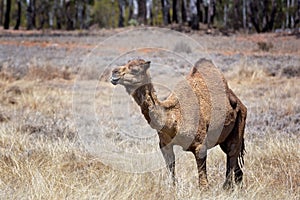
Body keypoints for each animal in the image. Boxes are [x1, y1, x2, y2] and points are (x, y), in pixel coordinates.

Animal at [110, 58, 246, 189]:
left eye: (134, 70)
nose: (114, 72)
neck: (175, 118)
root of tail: (240, 103)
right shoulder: (165, 145)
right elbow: (172, 171)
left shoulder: (200, 145)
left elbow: (203, 184)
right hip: (224, 138)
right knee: (235, 162)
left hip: (240, 123)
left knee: (232, 154)